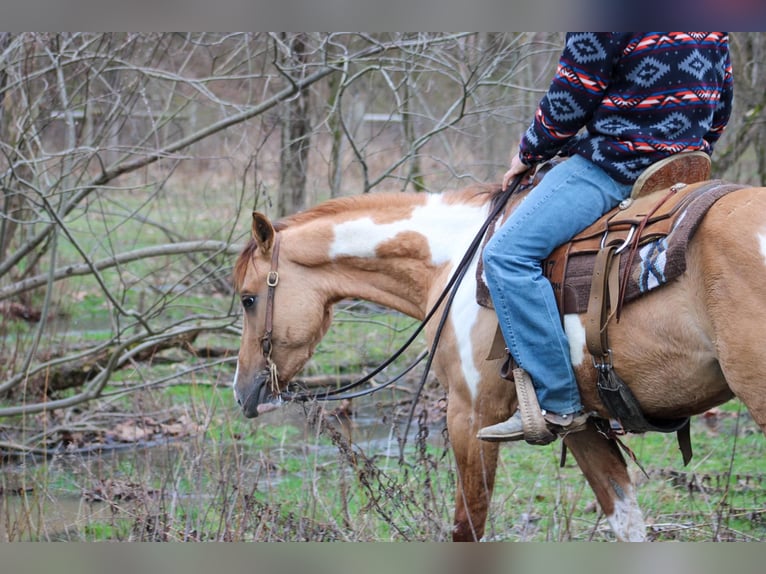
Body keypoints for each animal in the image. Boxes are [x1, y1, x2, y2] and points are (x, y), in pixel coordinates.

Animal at [231, 181, 766, 544]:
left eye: (248, 299)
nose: (241, 392)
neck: (452, 266)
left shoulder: (470, 415)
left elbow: (468, 527)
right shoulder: (581, 422)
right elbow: (626, 520)